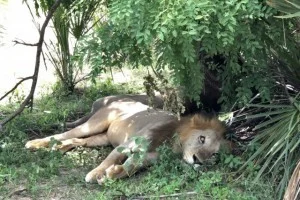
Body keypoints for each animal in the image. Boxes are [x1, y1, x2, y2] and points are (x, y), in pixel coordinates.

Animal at [25, 94, 226, 184]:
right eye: (201, 139)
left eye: (214, 154)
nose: (198, 160)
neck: (172, 145)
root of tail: (117, 99)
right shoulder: (125, 146)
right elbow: (107, 161)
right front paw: (95, 174)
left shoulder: (146, 159)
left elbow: (129, 169)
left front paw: (111, 175)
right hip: (94, 124)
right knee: (64, 135)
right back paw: (34, 144)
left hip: (103, 138)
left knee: (76, 141)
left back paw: (58, 148)